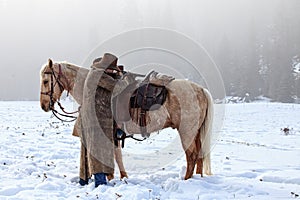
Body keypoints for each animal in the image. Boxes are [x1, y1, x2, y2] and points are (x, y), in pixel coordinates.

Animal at [39, 59, 213, 180]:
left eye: (46, 81)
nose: (44, 105)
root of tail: (201, 90)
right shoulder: (115, 133)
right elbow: (117, 156)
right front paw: (122, 177)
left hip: (186, 131)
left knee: (191, 156)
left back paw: (187, 180)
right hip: (196, 132)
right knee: (199, 155)